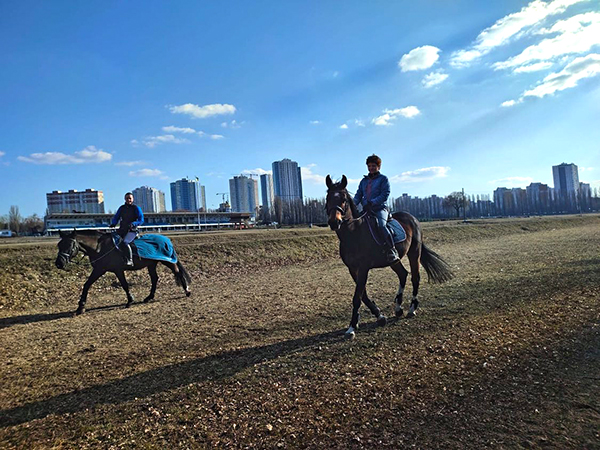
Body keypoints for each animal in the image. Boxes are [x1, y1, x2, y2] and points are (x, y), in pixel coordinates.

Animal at [54, 230, 190, 314]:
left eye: (70, 245)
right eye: (59, 245)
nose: (59, 263)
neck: (99, 247)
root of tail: (166, 239)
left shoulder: (113, 270)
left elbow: (124, 284)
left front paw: (130, 300)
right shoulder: (99, 270)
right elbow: (87, 285)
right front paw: (80, 307)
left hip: (168, 261)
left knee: (177, 272)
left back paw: (187, 290)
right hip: (151, 264)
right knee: (155, 278)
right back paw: (149, 297)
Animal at [326, 175, 452, 338]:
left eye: (343, 199)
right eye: (328, 198)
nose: (334, 222)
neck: (353, 233)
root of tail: (412, 218)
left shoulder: (363, 268)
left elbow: (357, 297)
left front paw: (351, 327)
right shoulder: (353, 269)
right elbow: (363, 295)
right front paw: (379, 316)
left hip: (414, 253)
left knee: (415, 277)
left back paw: (412, 309)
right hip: (394, 260)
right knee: (403, 274)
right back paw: (398, 308)